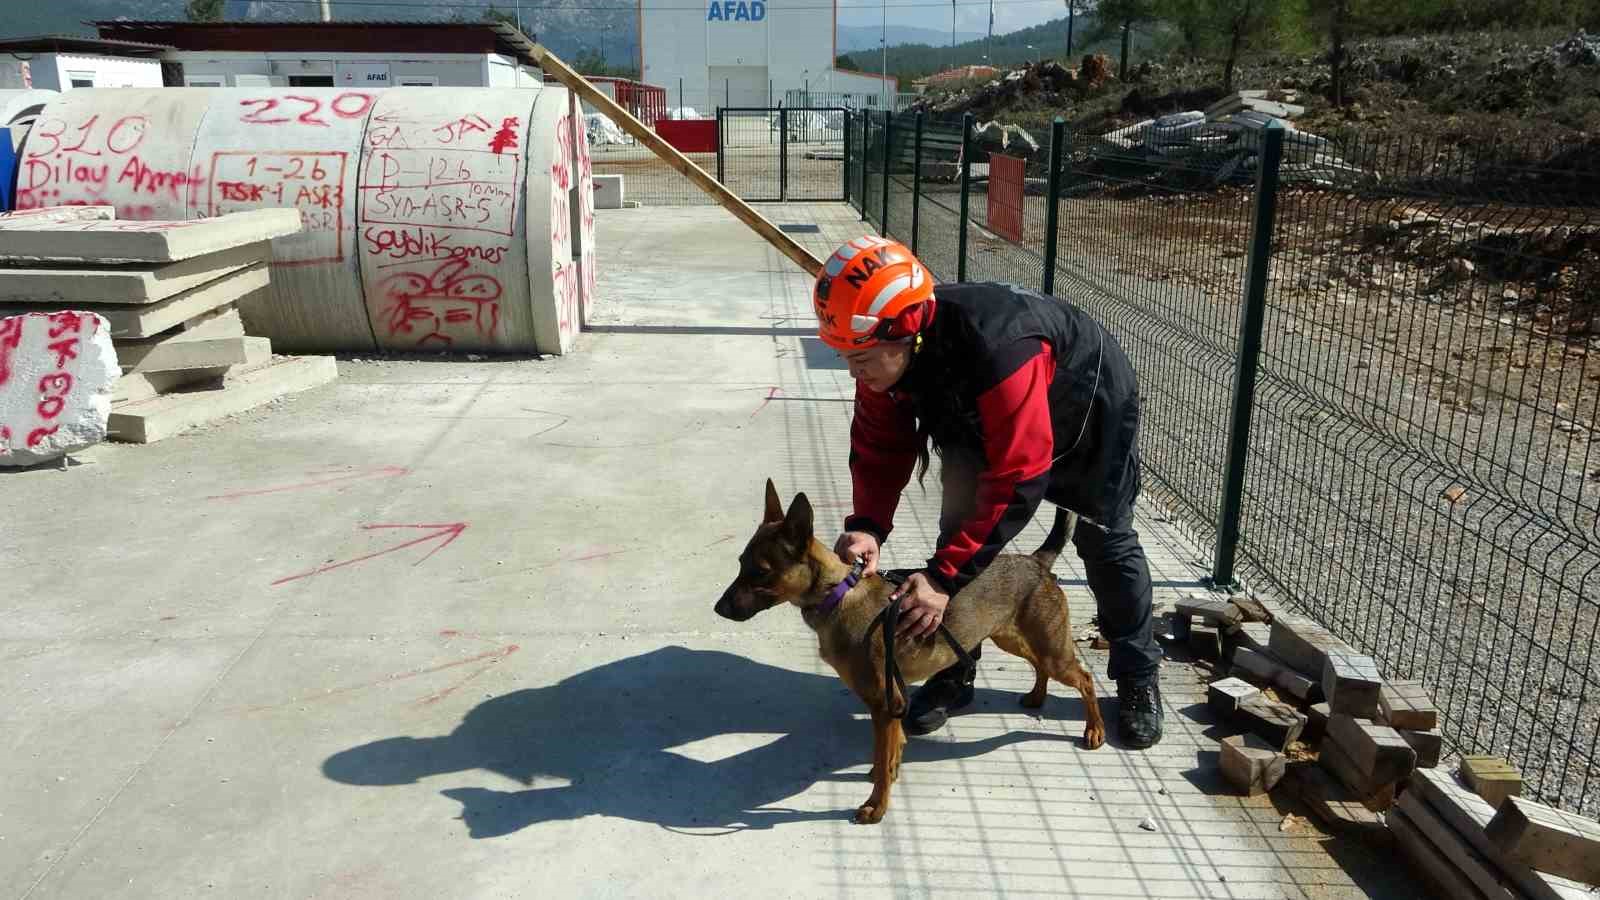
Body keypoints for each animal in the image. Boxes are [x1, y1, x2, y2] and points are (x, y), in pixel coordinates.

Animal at [720, 477, 1107, 819]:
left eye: (761, 572)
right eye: (739, 563)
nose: (718, 609)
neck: (838, 595)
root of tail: (1035, 561)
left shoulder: (882, 704)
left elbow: (882, 757)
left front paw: (876, 806)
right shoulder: (893, 701)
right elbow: (891, 752)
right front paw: (887, 776)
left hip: (1052, 650)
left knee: (1085, 679)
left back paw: (1095, 730)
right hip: (1013, 638)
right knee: (1041, 667)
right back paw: (1037, 696)